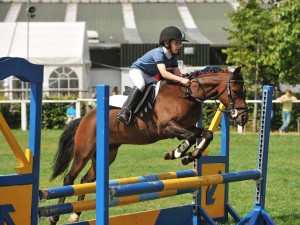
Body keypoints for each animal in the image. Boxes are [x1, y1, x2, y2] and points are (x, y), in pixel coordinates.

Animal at [48, 66, 247, 224]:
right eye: (237, 90)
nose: (243, 118)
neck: (187, 94)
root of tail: (85, 118)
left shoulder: (187, 126)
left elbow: (207, 134)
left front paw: (190, 155)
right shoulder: (166, 127)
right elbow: (190, 138)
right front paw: (178, 153)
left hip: (107, 154)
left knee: (85, 180)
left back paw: (75, 215)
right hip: (84, 151)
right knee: (70, 179)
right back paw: (54, 217)